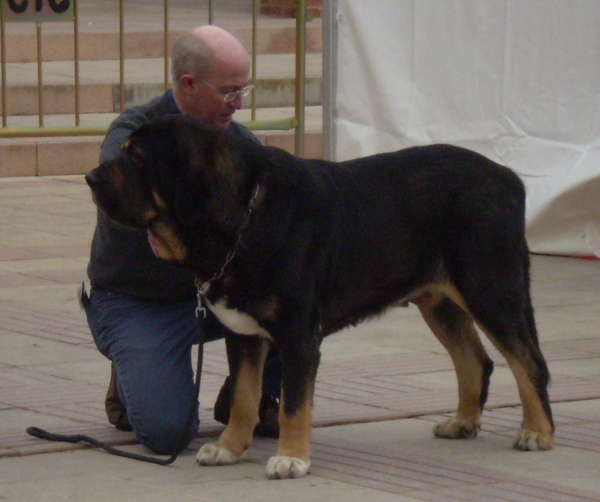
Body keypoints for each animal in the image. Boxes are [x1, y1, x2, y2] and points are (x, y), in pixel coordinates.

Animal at [84, 113, 552, 478]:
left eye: (137, 158)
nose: (89, 177)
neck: (244, 215)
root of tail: (509, 177)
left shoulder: (297, 334)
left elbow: (293, 404)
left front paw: (291, 458)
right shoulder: (244, 332)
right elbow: (244, 398)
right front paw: (230, 448)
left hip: (492, 290)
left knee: (529, 363)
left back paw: (537, 431)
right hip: (441, 304)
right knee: (475, 361)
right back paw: (464, 423)